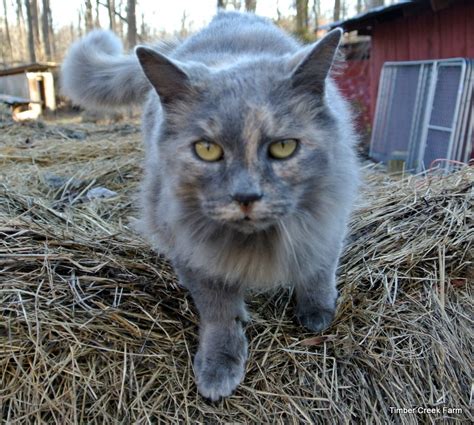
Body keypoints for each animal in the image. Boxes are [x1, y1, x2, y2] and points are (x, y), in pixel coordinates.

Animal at [63, 10, 360, 400]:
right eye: (207, 150)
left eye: (283, 148)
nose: (246, 196)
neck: (256, 243)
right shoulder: (191, 251)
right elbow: (219, 311)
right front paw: (220, 366)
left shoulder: (329, 218)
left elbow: (319, 270)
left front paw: (317, 314)